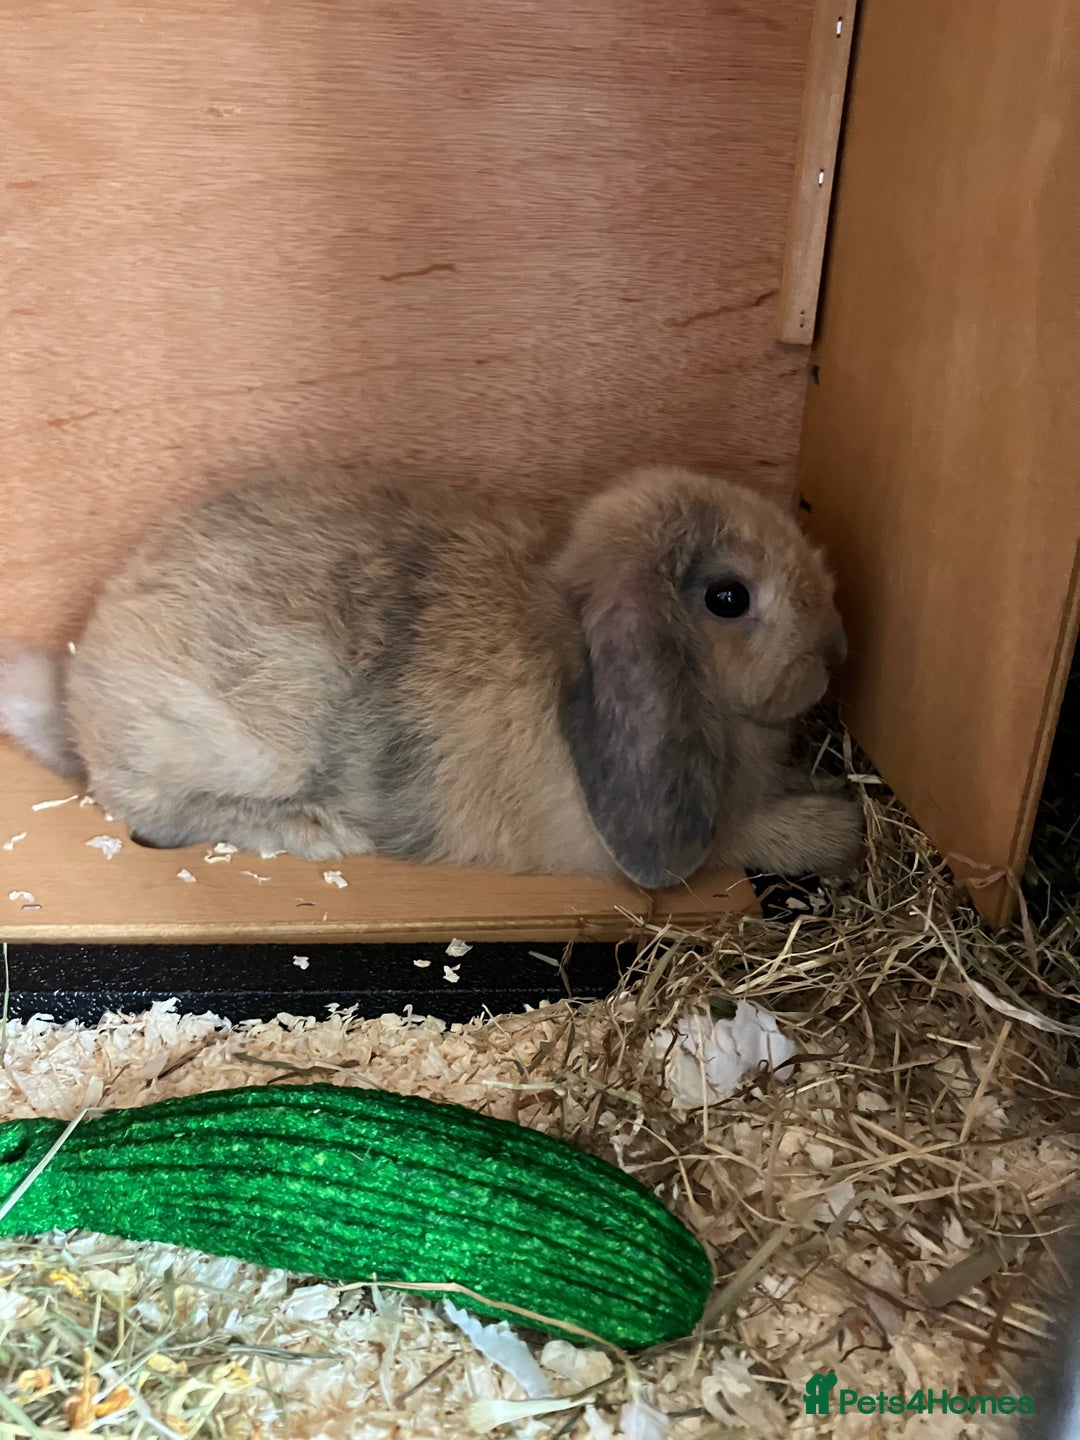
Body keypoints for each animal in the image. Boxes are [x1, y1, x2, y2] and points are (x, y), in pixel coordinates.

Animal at [0, 464, 862, 888]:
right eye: (729, 598)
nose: (836, 652)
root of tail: (80, 699)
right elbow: (757, 839)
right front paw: (843, 826)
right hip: (254, 738)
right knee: (151, 810)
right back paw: (319, 831)